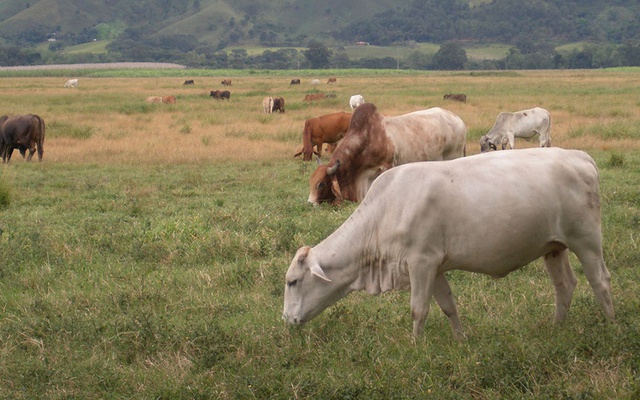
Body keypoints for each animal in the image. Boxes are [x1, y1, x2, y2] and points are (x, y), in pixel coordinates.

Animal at [284, 147, 616, 338]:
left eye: (292, 282)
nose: (286, 319)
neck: (385, 210)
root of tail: (580, 156)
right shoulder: (435, 267)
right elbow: (448, 307)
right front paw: (461, 340)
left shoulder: (421, 263)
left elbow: (418, 309)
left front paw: (415, 345)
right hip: (554, 246)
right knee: (565, 286)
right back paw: (556, 327)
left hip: (586, 239)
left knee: (600, 281)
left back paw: (612, 327)